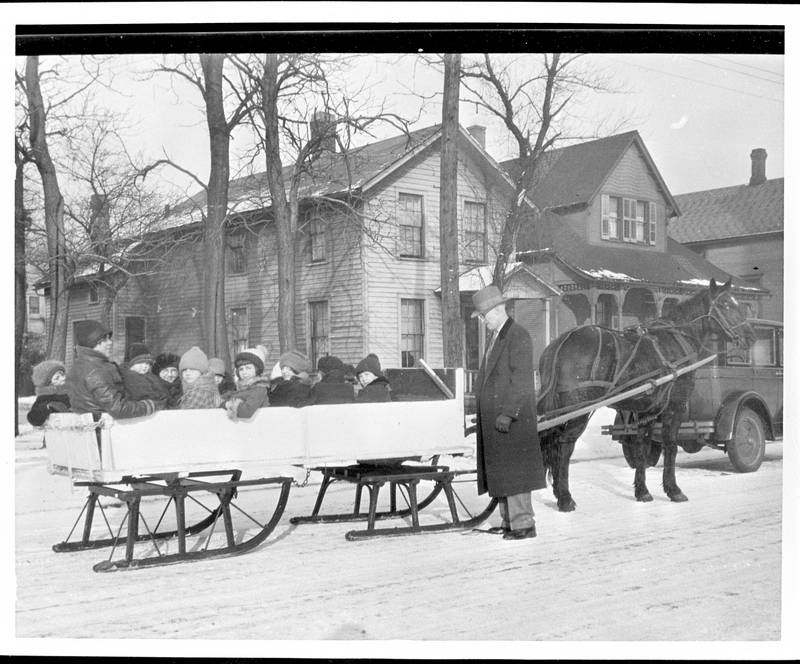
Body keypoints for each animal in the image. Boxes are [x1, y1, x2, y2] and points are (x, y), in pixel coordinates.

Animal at [536, 278, 756, 510]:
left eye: (739, 304)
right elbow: (670, 446)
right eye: (726, 305)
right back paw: (565, 497)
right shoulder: (674, 408)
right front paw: (674, 490)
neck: (676, 340)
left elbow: (641, 449)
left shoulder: (645, 411)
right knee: (564, 445)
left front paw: (642, 491)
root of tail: (563, 341)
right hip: (578, 407)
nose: (751, 336)